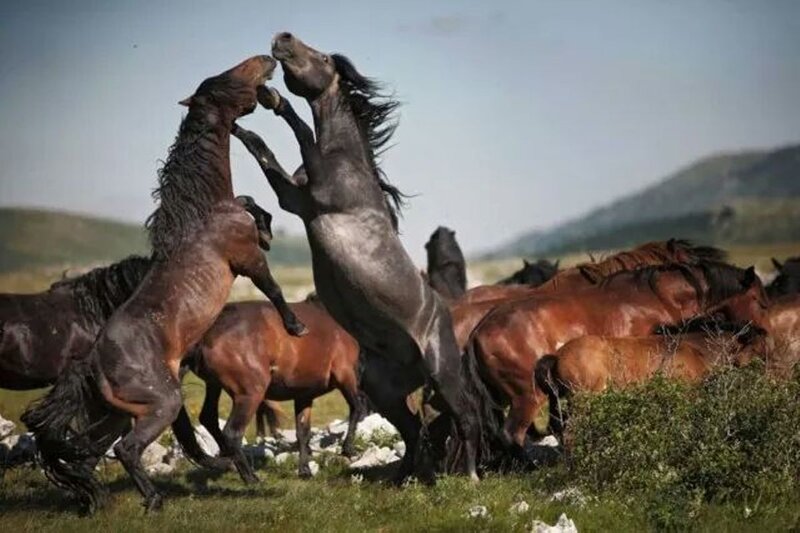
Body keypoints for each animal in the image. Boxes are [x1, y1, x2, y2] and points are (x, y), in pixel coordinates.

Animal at [23, 55, 307, 514]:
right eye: (227, 78)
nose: (266, 61)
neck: (203, 213)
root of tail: (92, 362)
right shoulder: (245, 260)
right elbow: (274, 287)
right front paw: (296, 326)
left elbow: (249, 202)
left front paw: (266, 226)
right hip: (162, 404)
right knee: (126, 449)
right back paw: (154, 499)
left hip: (118, 412)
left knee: (87, 450)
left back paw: (93, 498)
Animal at [183, 296, 363, 480]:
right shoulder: (345, 374)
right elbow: (356, 408)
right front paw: (348, 449)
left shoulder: (304, 394)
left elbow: (303, 432)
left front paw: (305, 470)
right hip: (249, 394)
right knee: (232, 433)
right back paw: (250, 477)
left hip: (214, 385)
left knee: (208, 418)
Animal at [232, 32, 493, 481]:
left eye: (321, 57)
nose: (282, 38)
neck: (346, 158)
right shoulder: (295, 200)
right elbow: (260, 153)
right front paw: (236, 125)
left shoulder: (317, 195)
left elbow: (300, 130)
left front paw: (274, 99)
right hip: (384, 390)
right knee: (413, 430)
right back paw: (404, 478)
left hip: (443, 375)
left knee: (467, 417)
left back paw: (471, 477)